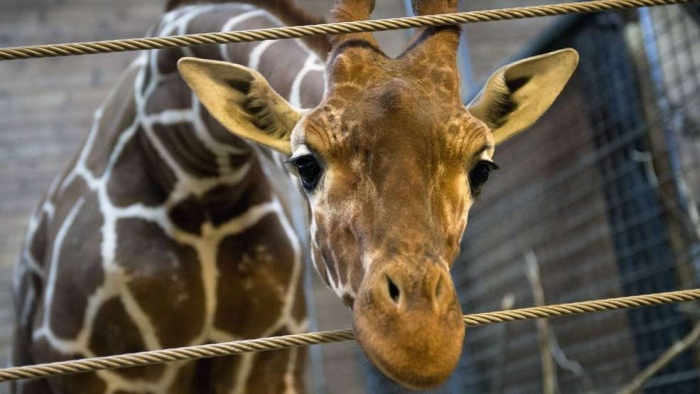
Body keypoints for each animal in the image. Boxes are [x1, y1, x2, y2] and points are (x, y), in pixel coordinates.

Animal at [10, 0, 576, 392]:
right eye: (306, 164)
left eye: (481, 169)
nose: (419, 340)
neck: (196, 178)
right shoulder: (93, 369)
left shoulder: (268, 360)